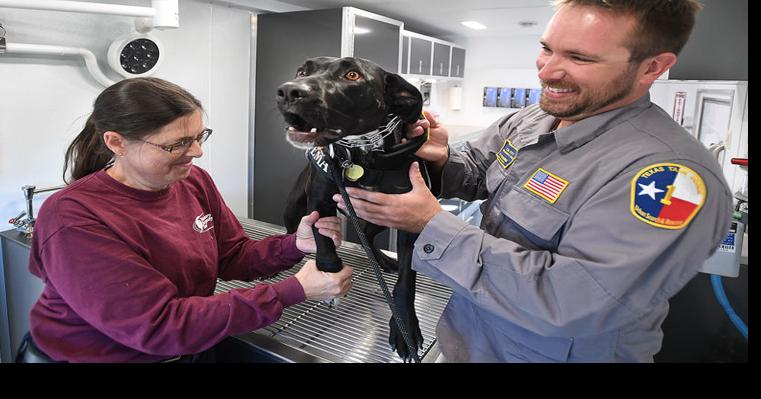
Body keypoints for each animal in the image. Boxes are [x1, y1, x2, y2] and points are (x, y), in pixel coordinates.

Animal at [276, 57, 428, 362]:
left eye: (353, 75)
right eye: (302, 71)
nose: (288, 91)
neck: (362, 155)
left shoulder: (408, 219)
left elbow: (407, 281)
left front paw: (405, 326)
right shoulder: (319, 203)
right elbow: (324, 245)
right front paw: (329, 281)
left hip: (379, 215)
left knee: (365, 235)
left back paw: (382, 260)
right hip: (294, 207)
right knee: (292, 230)